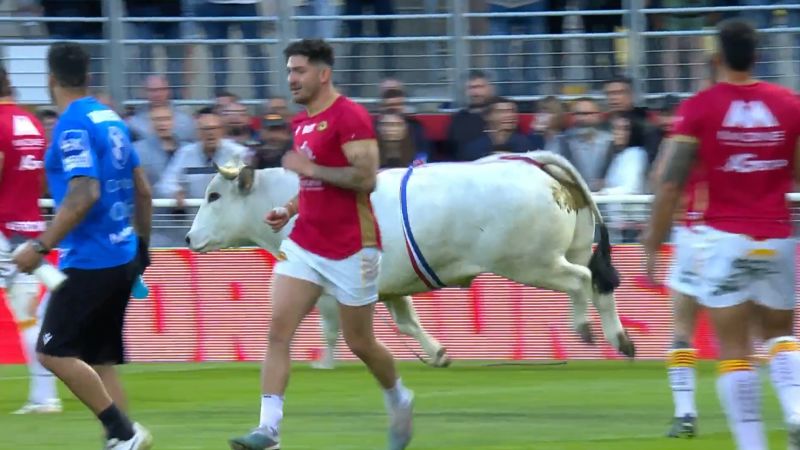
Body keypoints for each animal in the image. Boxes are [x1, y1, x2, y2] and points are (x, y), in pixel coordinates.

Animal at [184, 150, 636, 366]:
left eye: (214, 196)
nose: (188, 237)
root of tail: (535, 164)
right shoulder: (390, 286)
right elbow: (407, 323)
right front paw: (437, 353)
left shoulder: (330, 289)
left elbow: (329, 329)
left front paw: (324, 366)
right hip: (565, 252)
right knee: (600, 283)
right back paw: (621, 340)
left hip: (533, 263)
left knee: (581, 281)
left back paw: (584, 328)